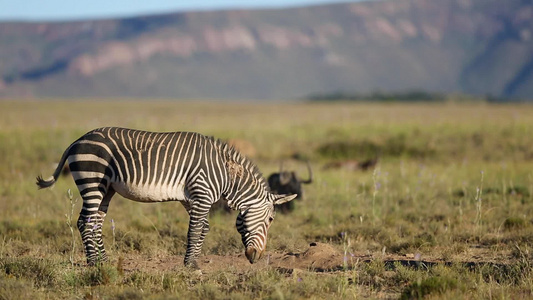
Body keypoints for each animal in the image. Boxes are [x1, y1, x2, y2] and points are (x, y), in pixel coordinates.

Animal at [37, 126, 296, 268]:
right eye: (271, 220)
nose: (256, 258)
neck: (227, 175)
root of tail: (77, 140)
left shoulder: (190, 198)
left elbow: (203, 228)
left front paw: (193, 261)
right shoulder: (201, 193)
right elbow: (195, 230)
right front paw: (191, 265)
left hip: (106, 189)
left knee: (96, 222)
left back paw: (104, 261)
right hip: (92, 179)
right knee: (85, 222)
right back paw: (93, 264)